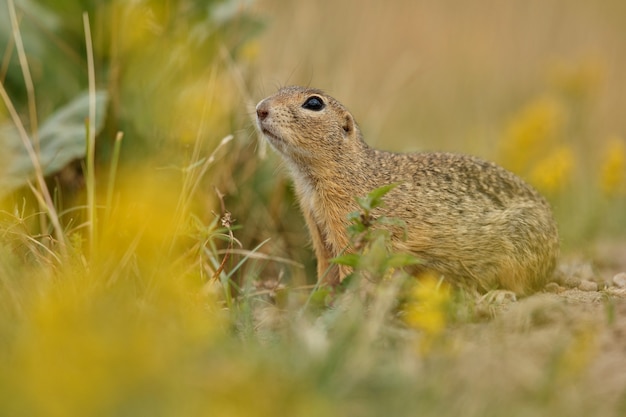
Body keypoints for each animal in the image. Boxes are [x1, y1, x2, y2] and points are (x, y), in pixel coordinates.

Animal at [254, 84, 556, 294]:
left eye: (314, 103)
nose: (259, 108)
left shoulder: (353, 230)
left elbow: (355, 270)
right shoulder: (318, 229)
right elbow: (326, 269)